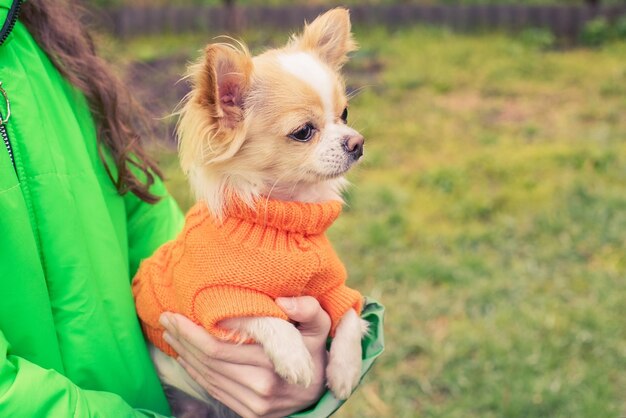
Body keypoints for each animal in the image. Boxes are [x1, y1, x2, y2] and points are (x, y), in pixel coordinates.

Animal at [130, 6, 366, 412]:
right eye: (304, 131)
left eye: (345, 114)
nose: (357, 142)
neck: (281, 218)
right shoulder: (210, 300)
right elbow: (260, 313)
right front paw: (295, 358)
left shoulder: (332, 288)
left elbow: (350, 311)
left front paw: (345, 370)